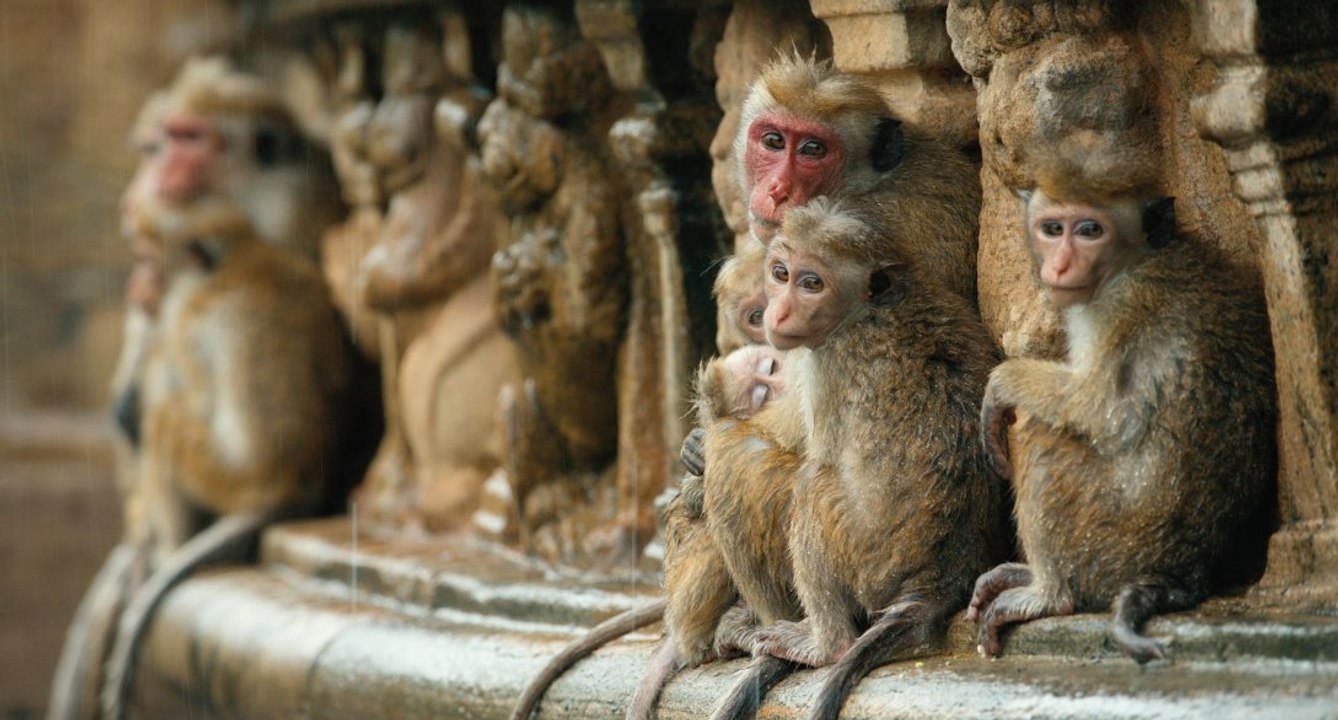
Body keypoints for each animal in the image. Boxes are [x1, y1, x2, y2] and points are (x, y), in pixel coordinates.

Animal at [98, 201, 351, 719]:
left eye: (149, 261)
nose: (138, 287)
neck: (237, 254)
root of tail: (292, 482)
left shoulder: (184, 312)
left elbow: (187, 388)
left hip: (222, 476)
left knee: (166, 414)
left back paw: (168, 546)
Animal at [709, 198, 1008, 720]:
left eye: (812, 283)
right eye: (781, 273)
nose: (777, 312)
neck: (869, 307)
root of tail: (938, 580)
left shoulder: (827, 363)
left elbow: (809, 452)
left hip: (869, 561)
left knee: (805, 482)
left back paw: (823, 644)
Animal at [969, 183, 1276, 664]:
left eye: (1090, 230)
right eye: (1052, 229)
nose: (1060, 265)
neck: (1136, 259)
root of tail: (1182, 570)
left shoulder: (1118, 305)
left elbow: (1103, 409)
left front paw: (1001, 383)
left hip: (1115, 542)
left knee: (1040, 432)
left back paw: (1049, 594)